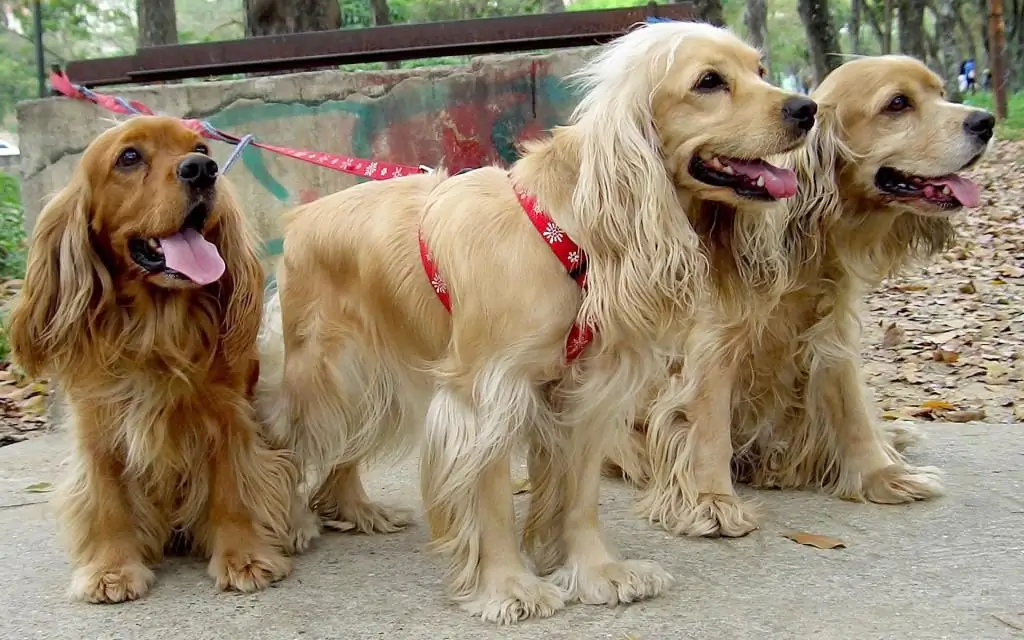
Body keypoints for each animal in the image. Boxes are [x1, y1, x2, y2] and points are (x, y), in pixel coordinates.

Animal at [6, 116, 305, 602]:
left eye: (201, 148)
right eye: (129, 157)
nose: (203, 170)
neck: (156, 326)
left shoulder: (229, 416)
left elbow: (234, 487)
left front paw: (244, 557)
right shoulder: (98, 424)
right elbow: (106, 498)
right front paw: (111, 569)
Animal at [256, 21, 815, 622]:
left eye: (760, 70)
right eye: (709, 82)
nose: (807, 109)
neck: (568, 231)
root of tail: (300, 219)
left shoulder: (588, 390)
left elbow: (581, 494)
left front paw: (597, 571)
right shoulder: (488, 395)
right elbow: (493, 501)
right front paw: (508, 586)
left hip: (379, 380)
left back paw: (355, 508)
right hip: (325, 375)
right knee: (286, 440)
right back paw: (288, 523)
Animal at [602, 54, 995, 536]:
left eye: (941, 93)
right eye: (898, 104)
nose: (986, 121)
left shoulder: (832, 336)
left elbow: (853, 412)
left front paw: (883, 475)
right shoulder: (712, 347)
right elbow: (707, 426)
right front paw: (712, 501)